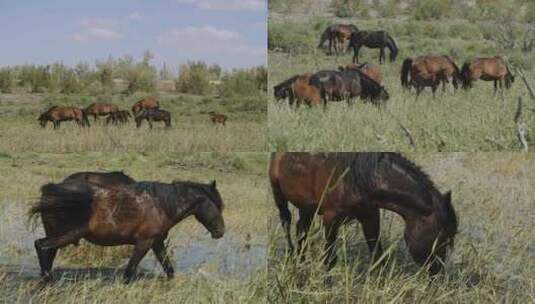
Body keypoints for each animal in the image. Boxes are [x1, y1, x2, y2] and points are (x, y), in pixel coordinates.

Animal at [270, 153, 458, 274]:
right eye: (440, 237)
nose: (436, 271)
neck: (355, 180)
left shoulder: (370, 218)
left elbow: (378, 256)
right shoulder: (331, 220)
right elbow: (329, 260)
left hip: (306, 206)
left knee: (301, 229)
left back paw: (301, 261)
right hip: (279, 195)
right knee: (286, 222)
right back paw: (291, 257)